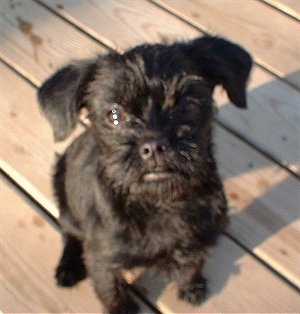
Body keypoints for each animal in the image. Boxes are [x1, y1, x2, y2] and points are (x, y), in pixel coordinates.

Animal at [38, 35, 253, 312]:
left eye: (187, 105)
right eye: (115, 115)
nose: (154, 145)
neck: (158, 202)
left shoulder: (197, 235)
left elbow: (192, 261)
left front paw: (191, 286)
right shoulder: (102, 257)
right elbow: (110, 287)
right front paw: (122, 309)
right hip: (63, 192)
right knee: (68, 232)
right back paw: (68, 267)